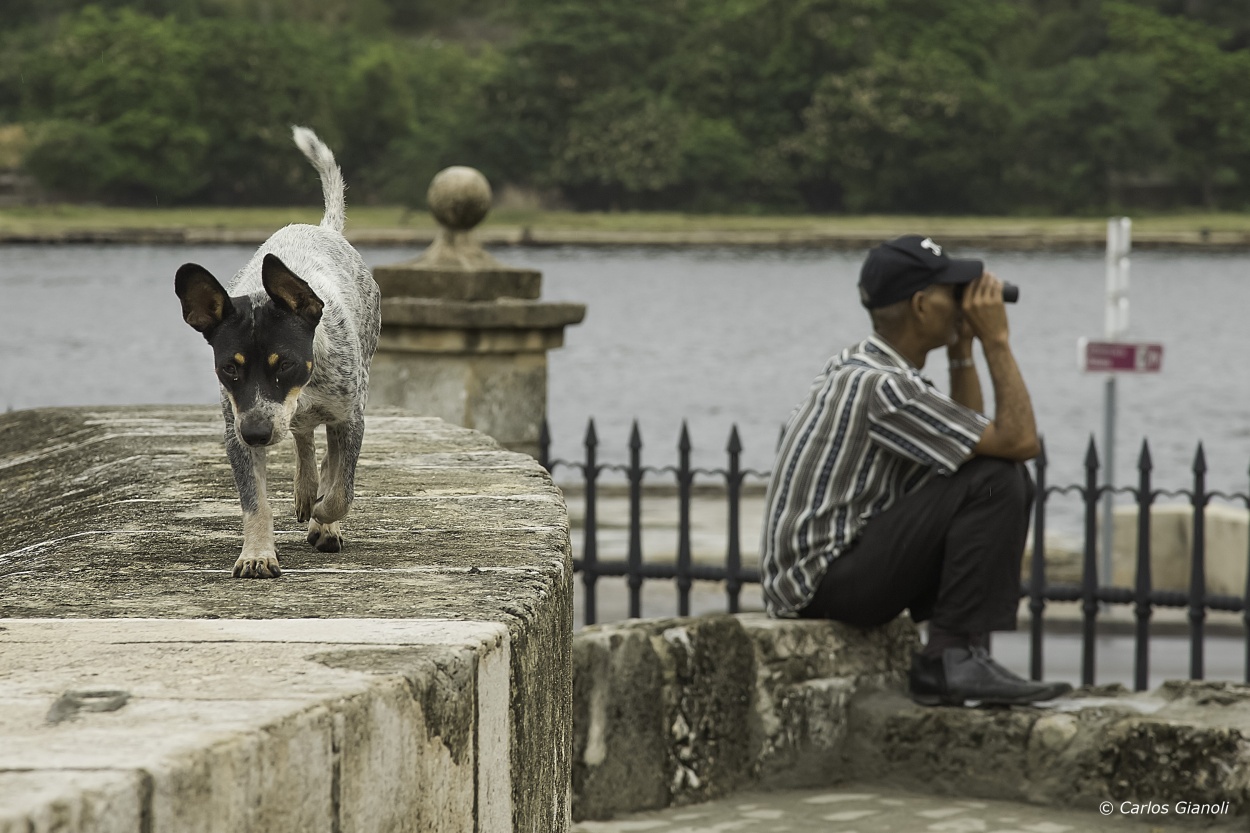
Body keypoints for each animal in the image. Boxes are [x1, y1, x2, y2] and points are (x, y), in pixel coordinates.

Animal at [175, 125, 380, 577]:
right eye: (229, 369)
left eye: (283, 363)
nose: (257, 433)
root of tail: (323, 228)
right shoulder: (236, 429)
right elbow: (256, 503)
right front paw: (257, 554)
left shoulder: (351, 417)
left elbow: (342, 489)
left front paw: (325, 518)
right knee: (303, 438)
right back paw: (305, 489)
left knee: (326, 458)